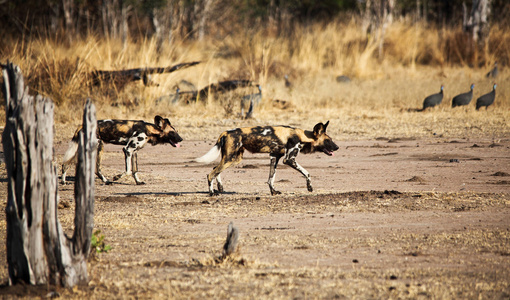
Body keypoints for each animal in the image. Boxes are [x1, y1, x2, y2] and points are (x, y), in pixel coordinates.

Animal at [195, 120, 338, 196]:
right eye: (328, 140)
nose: (337, 147)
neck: (302, 136)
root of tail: (225, 132)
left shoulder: (274, 157)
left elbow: (271, 178)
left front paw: (273, 191)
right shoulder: (289, 159)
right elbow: (307, 173)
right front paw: (309, 187)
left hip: (234, 159)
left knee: (215, 168)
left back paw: (220, 188)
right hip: (230, 158)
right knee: (210, 174)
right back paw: (212, 193)